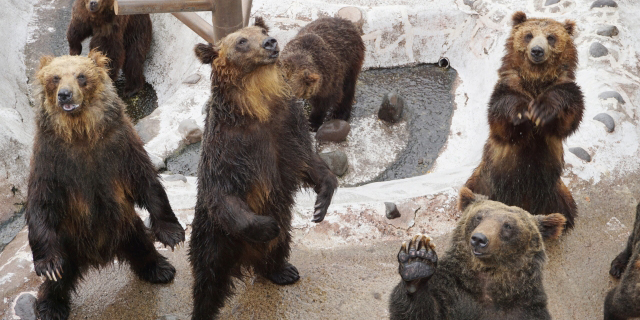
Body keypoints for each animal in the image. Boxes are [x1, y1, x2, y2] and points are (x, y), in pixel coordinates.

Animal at [25, 51, 185, 320]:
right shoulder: (51, 159)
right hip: (67, 240)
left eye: (81, 76)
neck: (80, 132)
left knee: (142, 244)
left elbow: (145, 181)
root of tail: (98, 256)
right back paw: (50, 306)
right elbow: (41, 202)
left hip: (126, 224)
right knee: (60, 278)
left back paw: (160, 269)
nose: (64, 94)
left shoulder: (118, 145)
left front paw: (173, 234)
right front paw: (48, 265)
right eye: (55, 78)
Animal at [188, 18, 340, 320]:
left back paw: (283, 271)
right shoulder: (227, 148)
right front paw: (267, 225)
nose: (270, 42)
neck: (257, 107)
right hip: (213, 237)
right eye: (241, 41)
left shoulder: (289, 128)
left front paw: (321, 204)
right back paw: (203, 308)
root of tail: (245, 260)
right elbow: (222, 193)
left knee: (280, 246)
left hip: (279, 234)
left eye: (262, 31)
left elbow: (308, 160)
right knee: (208, 279)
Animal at [388, 188, 564, 320]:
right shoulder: (451, 292)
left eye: (508, 225)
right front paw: (417, 261)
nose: (479, 239)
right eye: (479, 216)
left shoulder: (525, 306)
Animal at [464, 10, 584, 230]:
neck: (535, 80)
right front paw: (522, 114)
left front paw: (542, 110)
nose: (537, 51)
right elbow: (501, 119)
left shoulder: (565, 87)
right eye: (529, 35)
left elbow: (568, 114)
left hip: (553, 193)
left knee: (565, 208)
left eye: (551, 37)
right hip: (484, 183)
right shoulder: (508, 87)